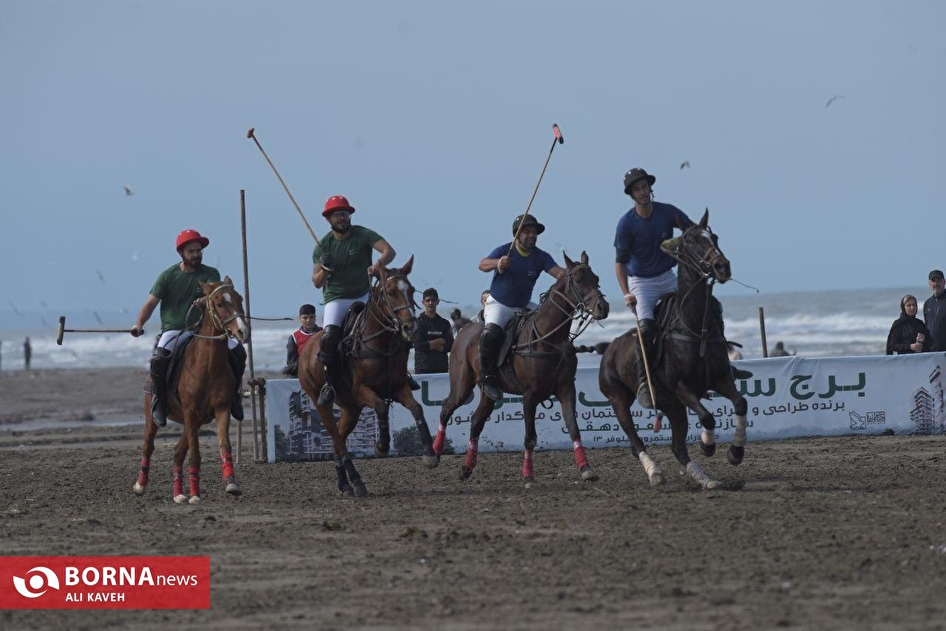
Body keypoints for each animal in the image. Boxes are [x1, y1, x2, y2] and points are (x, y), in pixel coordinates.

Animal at [135, 278, 251, 506]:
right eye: (219, 303)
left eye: (240, 299)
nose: (243, 332)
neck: (207, 366)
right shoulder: (190, 411)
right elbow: (195, 455)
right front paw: (196, 494)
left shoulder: (221, 409)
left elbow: (225, 445)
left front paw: (231, 483)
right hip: (154, 416)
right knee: (148, 446)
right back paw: (141, 485)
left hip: (198, 421)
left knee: (178, 452)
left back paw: (178, 493)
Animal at [296, 256, 436, 498]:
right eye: (390, 292)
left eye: (411, 290)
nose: (411, 328)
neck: (380, 343)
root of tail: (306, 350)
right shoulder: (362, 390)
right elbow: (380, 407)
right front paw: (381, 446)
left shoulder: (398, 387)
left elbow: (417, 408)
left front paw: (429, 453)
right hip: (321, 402)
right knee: (336, 438)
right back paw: (357, 481)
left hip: (351, 408)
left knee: (339, 439)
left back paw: (345, 484)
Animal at [434, 252, 608, 484]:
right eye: (579, 280)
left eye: (596, 279)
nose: (603, 308)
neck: (550, 339)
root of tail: (466, 327)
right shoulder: (529, 395)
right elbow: (529, 438)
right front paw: (528, 476)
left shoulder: (566, 389)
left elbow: (573, 428)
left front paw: (586, 468)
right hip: (461, 385)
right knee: (446, 407)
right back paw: (433, 455)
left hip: (488, 393)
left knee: (476, 421)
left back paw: (466, 467)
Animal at [596, 210, 744, 492]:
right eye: (691, 240)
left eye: (714, 237)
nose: (722, 267)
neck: (695, 326)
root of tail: (608, 349)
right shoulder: (680, 386)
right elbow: (708, 417)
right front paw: (707, 445)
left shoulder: (720, 378)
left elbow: (740, 403)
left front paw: (735, 453)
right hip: (618, 400)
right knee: (636, 442)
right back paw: (655, 472)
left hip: (671, 405)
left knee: (678, 448)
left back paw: (706, 479)